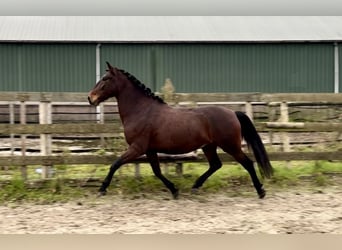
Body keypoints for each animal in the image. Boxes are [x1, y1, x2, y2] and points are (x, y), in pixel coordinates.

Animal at [87, 62, 272, 199]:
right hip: (209, 146)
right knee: (215, 165)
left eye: (105, 79)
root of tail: (232, 112)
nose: (90, 98)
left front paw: (102, 189)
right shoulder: (150, 150)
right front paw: (174, 190)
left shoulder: (137, 148)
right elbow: (157, 171)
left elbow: (115, 164)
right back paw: (196, 186)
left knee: (247, 163)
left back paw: (260, 191)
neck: (141, 110)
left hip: (230, 146)